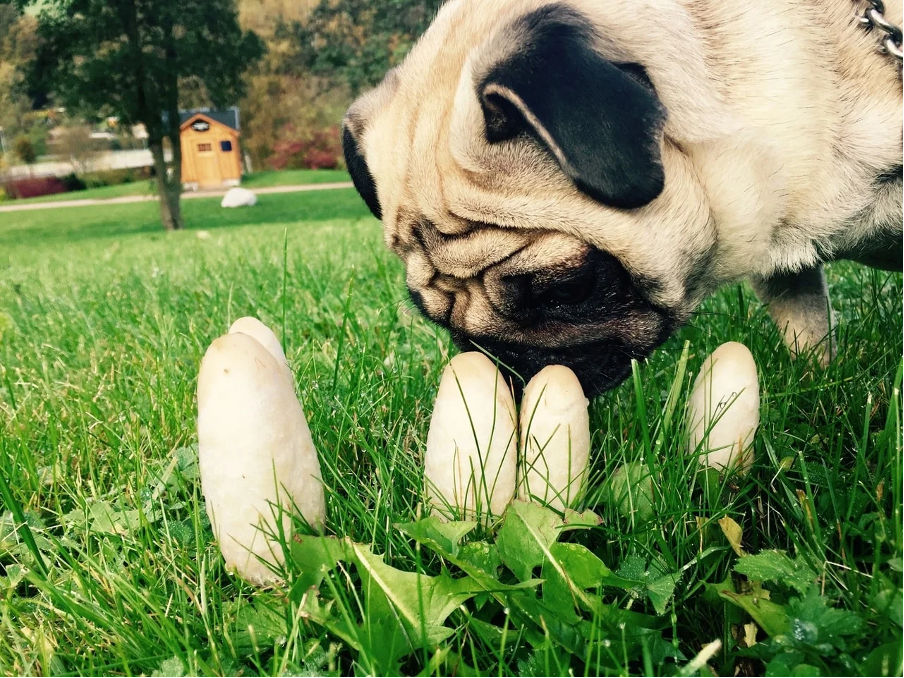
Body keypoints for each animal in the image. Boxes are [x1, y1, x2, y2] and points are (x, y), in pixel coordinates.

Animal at [342, 0, 900, 396]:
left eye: (567, 289)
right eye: (433, 318)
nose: (507, 365)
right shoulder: (787, 274)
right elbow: (807, 335)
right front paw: (819, 388)